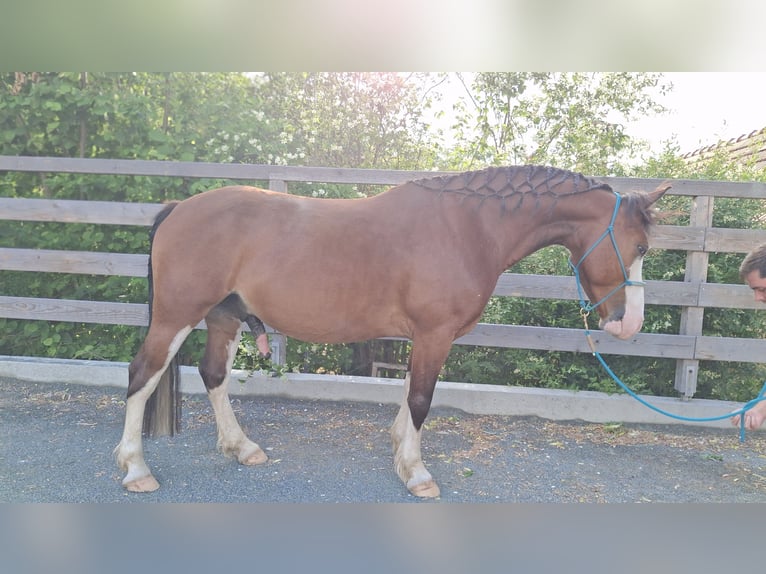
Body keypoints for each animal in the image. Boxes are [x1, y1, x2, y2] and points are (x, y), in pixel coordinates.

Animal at [114, 165, 669, 498]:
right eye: (639, 246)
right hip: (177, 316)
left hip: (224, 317)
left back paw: (242, 447)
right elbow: (422, 398)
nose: (631, 324)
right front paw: (417, 473)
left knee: (213, 375)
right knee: (142, 374)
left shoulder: (422, 336)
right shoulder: (434, 333)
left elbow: (407, 394)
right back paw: (137, 468)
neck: (468, 227)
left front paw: (401, 452)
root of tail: (179, 209)